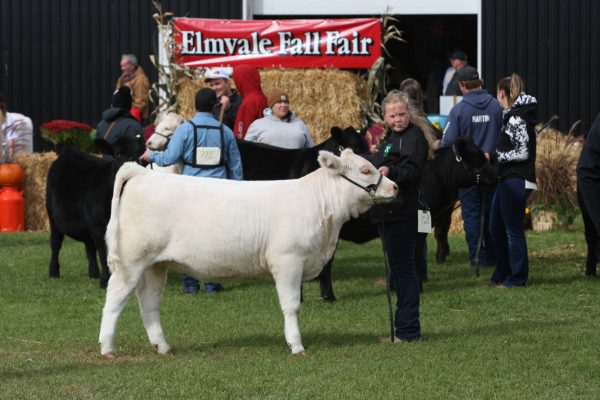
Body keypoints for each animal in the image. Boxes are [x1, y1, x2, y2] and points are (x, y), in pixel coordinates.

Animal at [45, 137, 145, 288]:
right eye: (119, 153)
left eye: (139, 153)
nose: (134, 164)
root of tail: (69, 150)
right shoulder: (98, 226)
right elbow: (103, 253)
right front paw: (105, 281)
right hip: (52, 215)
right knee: (55, 242)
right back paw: (53, 272)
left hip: (86, 225)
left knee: (89, 247)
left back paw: (93, 274)